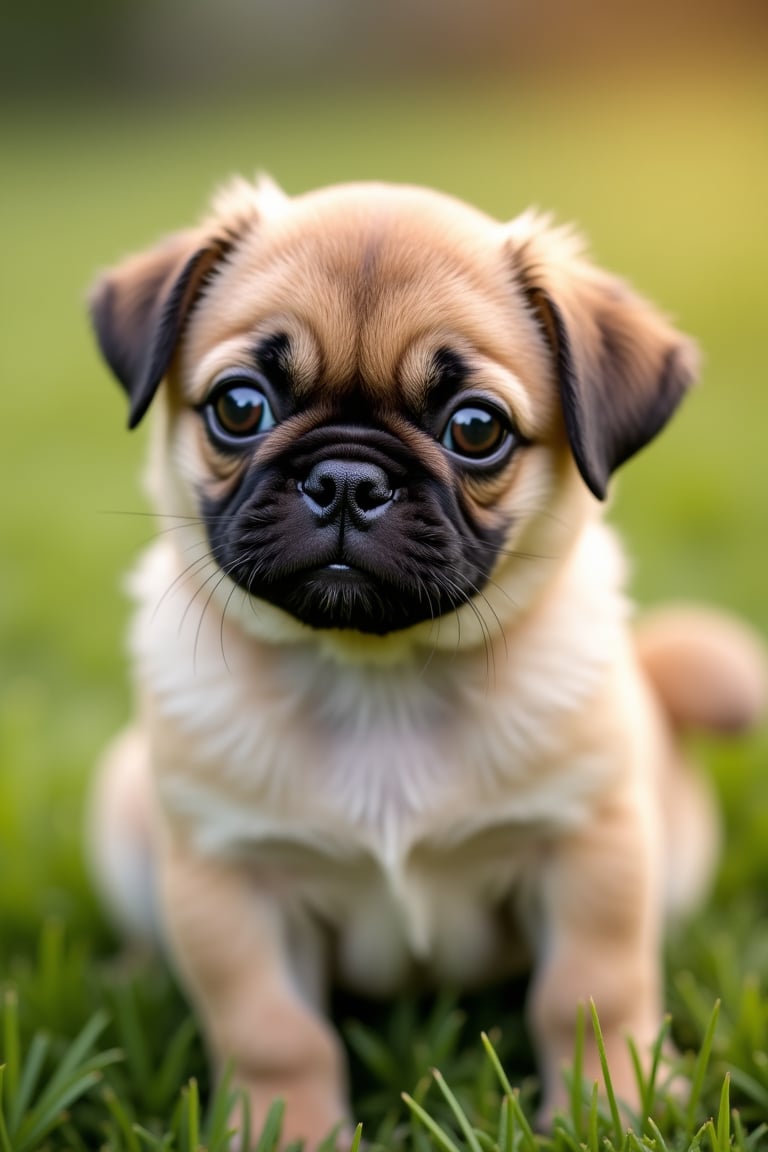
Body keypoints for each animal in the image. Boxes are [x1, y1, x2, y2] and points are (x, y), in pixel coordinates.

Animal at [86, 179, 764, 1142]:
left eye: (476, 429)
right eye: (239, 408)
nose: (345, 480)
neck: (380, 678)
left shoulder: (591, 848)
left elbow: (587, 993)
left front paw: (613, 1108)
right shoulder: (230, 881)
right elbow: (274, 1032)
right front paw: (287, 1132)